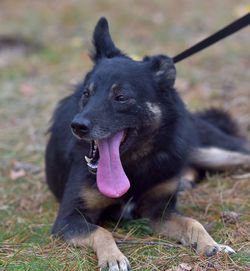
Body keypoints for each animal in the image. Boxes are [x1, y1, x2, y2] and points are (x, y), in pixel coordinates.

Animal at [45, 18, 250, 270]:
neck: (132, 165)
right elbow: (102, 232)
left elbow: (193, 222)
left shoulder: (159, 211)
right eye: (86, 93)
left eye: (121, 97)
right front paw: (113, 257)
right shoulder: (69, 218)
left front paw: (213, 246)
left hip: (208, 152)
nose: (77, 126)